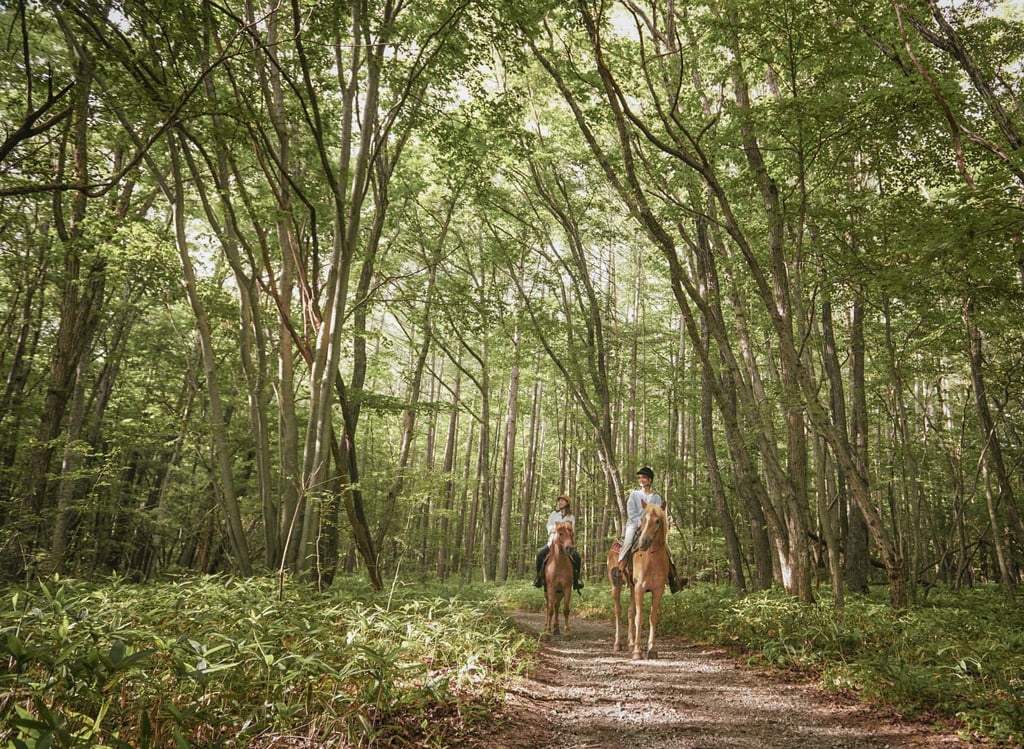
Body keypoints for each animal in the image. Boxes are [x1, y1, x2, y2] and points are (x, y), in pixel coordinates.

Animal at [606, 501, 669, 659]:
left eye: (657, 521)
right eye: (642, 519)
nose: (644, 542)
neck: (652, 559)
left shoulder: (658, 590)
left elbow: (652, 618)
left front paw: (652, 650)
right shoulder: (640, 588)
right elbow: (639, 618)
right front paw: (637, 651)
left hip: (632, 588)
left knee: (629, 612)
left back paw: (630, 643)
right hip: (616, 585)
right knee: (618, 611)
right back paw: (618, 644)